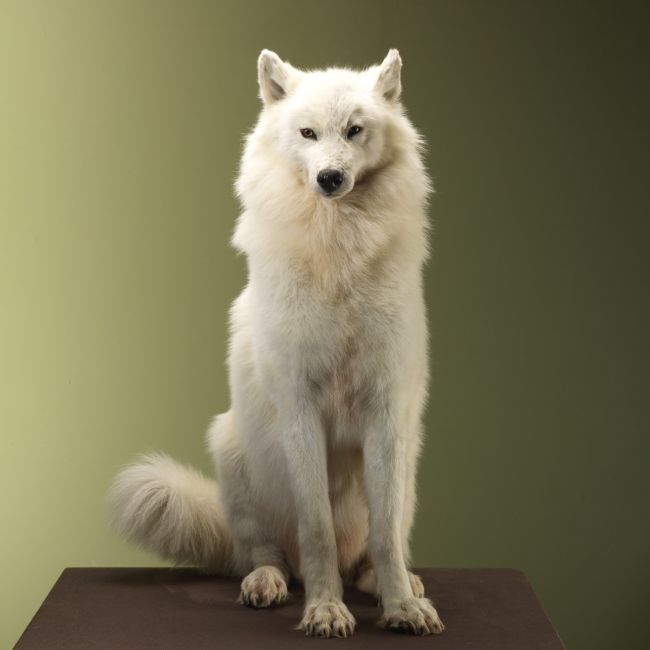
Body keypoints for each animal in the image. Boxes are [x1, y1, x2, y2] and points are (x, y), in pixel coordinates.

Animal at [108, 48, 444, 638]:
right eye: (307, 133)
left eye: (355, 130)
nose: (330, 178)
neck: (338, 251)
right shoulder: (300, 411)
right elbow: (316, 531)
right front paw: (325, 609)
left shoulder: (386, 412)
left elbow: (384, 535)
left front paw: (402, 607)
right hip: (234, 454)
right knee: (270, 554)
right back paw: (267, 583)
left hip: (409, 467)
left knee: (381, 545)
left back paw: (390, 582)